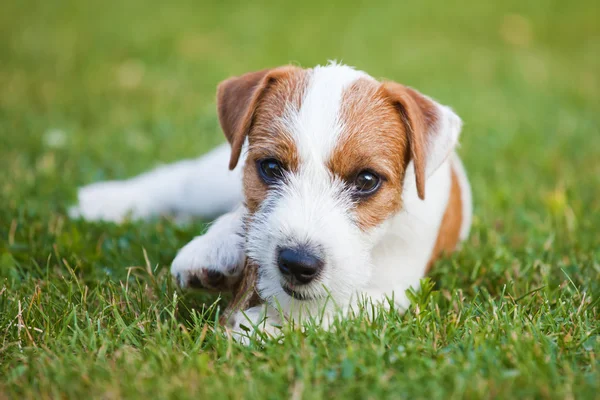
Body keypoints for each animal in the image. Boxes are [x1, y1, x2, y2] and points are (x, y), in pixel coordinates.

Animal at [71, 61, 474, 338]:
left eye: (367, 180)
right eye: (270, 167)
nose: (297, 263)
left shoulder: (395, 292)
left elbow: (339, 307)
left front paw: (265, 326)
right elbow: (248, 217)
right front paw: (216, 249)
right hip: (212, 176)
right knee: (180, 179)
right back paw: (104, 201)